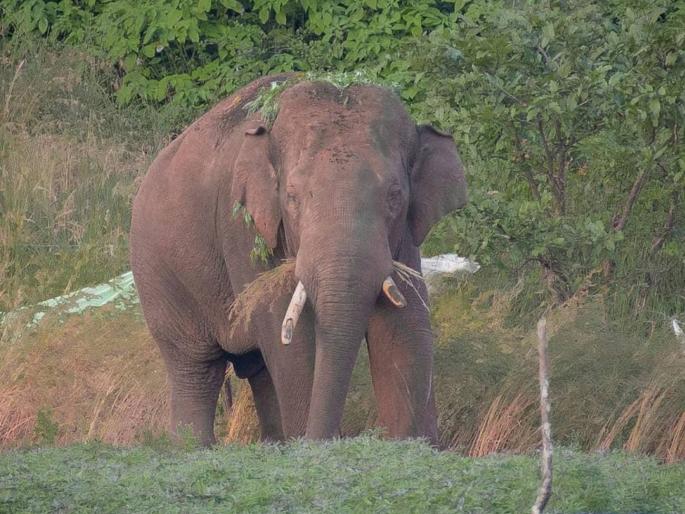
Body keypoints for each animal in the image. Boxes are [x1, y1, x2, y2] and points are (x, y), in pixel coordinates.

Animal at [130, 73, 467, 446]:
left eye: (395, 196)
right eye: (291, 197)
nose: (327, 442)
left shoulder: (405, 236)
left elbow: (403, 328)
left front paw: (414, 447)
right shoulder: (244, 231)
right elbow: (290, 340)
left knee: (259, 370)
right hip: (160, 278)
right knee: (196, 369)